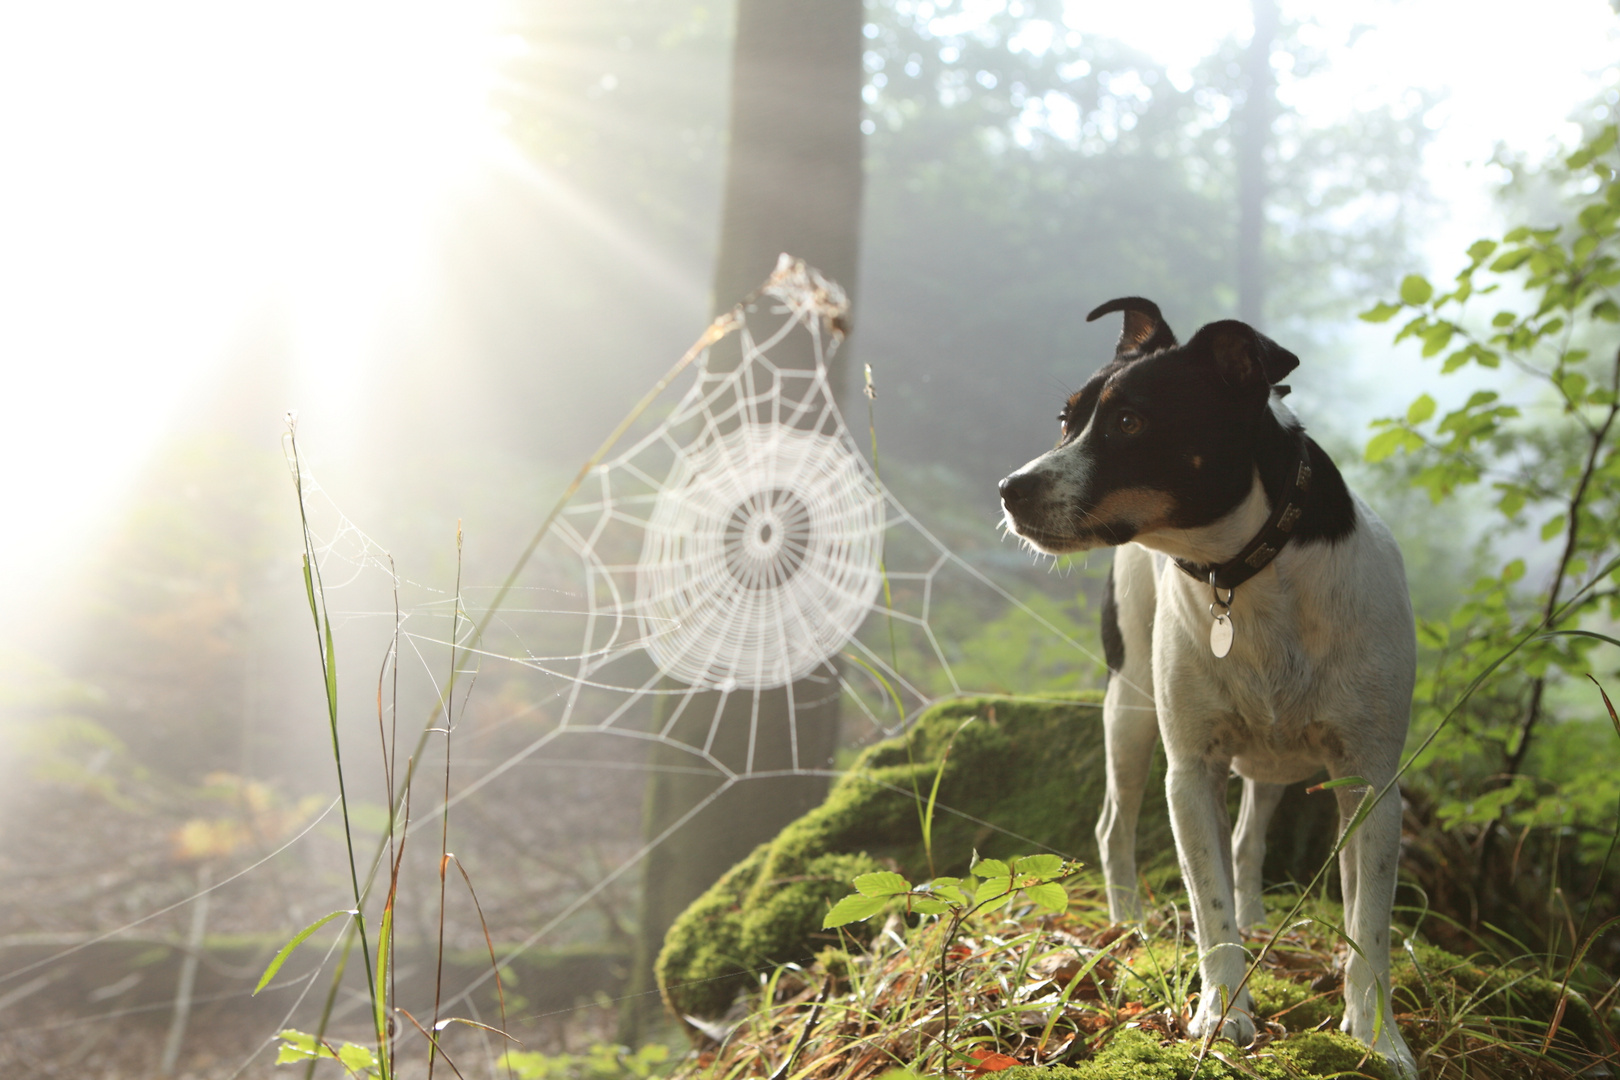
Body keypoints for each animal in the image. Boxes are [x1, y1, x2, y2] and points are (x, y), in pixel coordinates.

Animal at [997, 297, 1419, 1080]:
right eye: (1066, 419)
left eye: (1130, 422)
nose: (1010, 489)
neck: (1247, 571)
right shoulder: (1191, 774)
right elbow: (1208, 908)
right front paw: (1223, 1014)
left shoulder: (1371, 783)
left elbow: (1367, 926)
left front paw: (1378, 1038)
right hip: (1130, 708)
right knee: (1114, 825)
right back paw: (1127, 925)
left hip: (1270, 760)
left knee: (1250, 841)